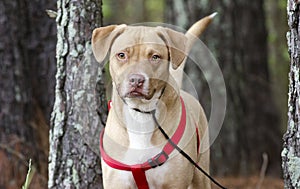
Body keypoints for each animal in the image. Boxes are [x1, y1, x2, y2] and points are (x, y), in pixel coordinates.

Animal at [91, 12, 216, 188]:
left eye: (155, 57)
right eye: (122, 55)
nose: (136, 80)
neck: (140, 114)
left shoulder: (174, 183)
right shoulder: (117, 183)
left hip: (201, 175)